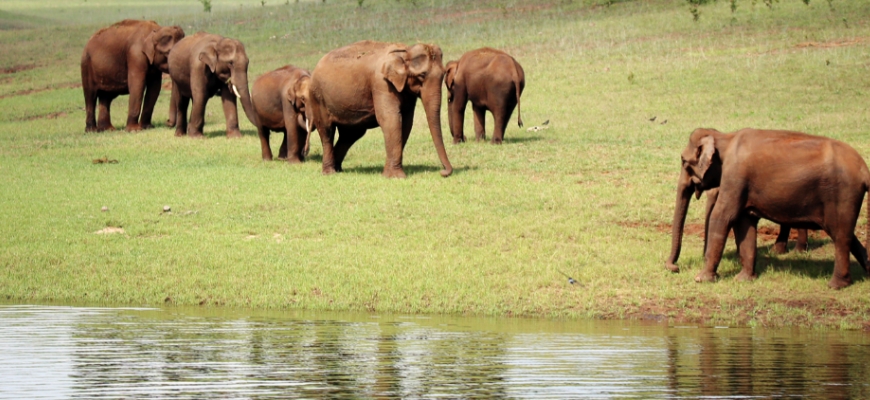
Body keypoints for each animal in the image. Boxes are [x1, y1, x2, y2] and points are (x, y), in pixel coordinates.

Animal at [307, 40, 453, 178]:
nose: (443, 172)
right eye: (422, 75)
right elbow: (390, 119)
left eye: (444, 74)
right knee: (327, 132)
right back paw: (329, 172)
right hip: (317, 98)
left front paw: (387, 174)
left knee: (350, 135)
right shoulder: (381, 83)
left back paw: (338, 169)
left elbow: (406, 123)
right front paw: (396, 176)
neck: (404, 51)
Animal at [666, 128, 870, 289]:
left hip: (843, 195)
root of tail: (864, 171)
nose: (674, 268)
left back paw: (835, 285)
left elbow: (722, 217)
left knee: (841, 237)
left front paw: (701, 279)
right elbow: (744, 222)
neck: (725, 137)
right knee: (846, 235)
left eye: (683, 161)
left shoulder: (735, 177)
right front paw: (744, 279)